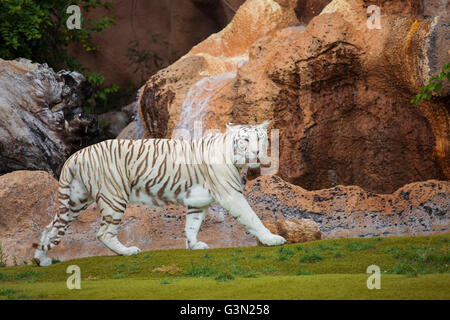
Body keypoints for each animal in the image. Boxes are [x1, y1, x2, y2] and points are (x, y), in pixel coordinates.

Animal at [33, 121, 284, 266]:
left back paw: (41, 259)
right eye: (246, 140)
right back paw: (128, 251)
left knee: (50, 227)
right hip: (114, 197)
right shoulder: (231, 194)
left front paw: (194, 245)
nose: (257, 152)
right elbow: (252, 217)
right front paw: (272, 239)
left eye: (260, 138)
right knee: (103, 233)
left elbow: (192, 224)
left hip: (76, 199)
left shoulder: (198, 201)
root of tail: (76, 155)